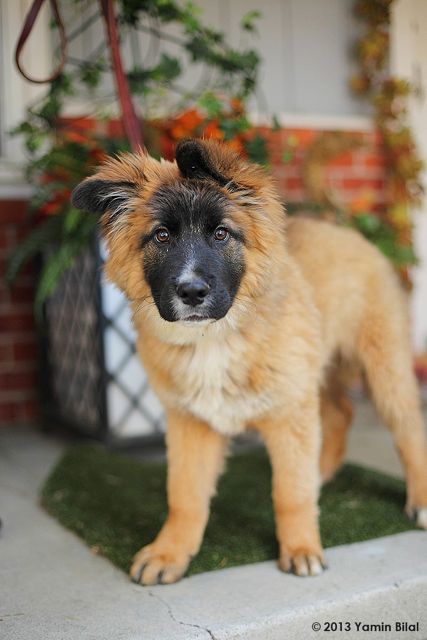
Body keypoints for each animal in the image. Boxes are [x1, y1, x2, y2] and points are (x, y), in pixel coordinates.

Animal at [72, 139, 427, 584]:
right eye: (162, 235)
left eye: (221, 233)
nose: (191, 292)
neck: (214, 338)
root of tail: (341, 229)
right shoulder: (191, 421)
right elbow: (184, 494)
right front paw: (169, 553)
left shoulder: (288, 413)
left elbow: (290, 492)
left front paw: (301, 548)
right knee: (341, 413)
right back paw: (322, 473)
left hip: (383, 368)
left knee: (408, 428)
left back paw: (418, 499)